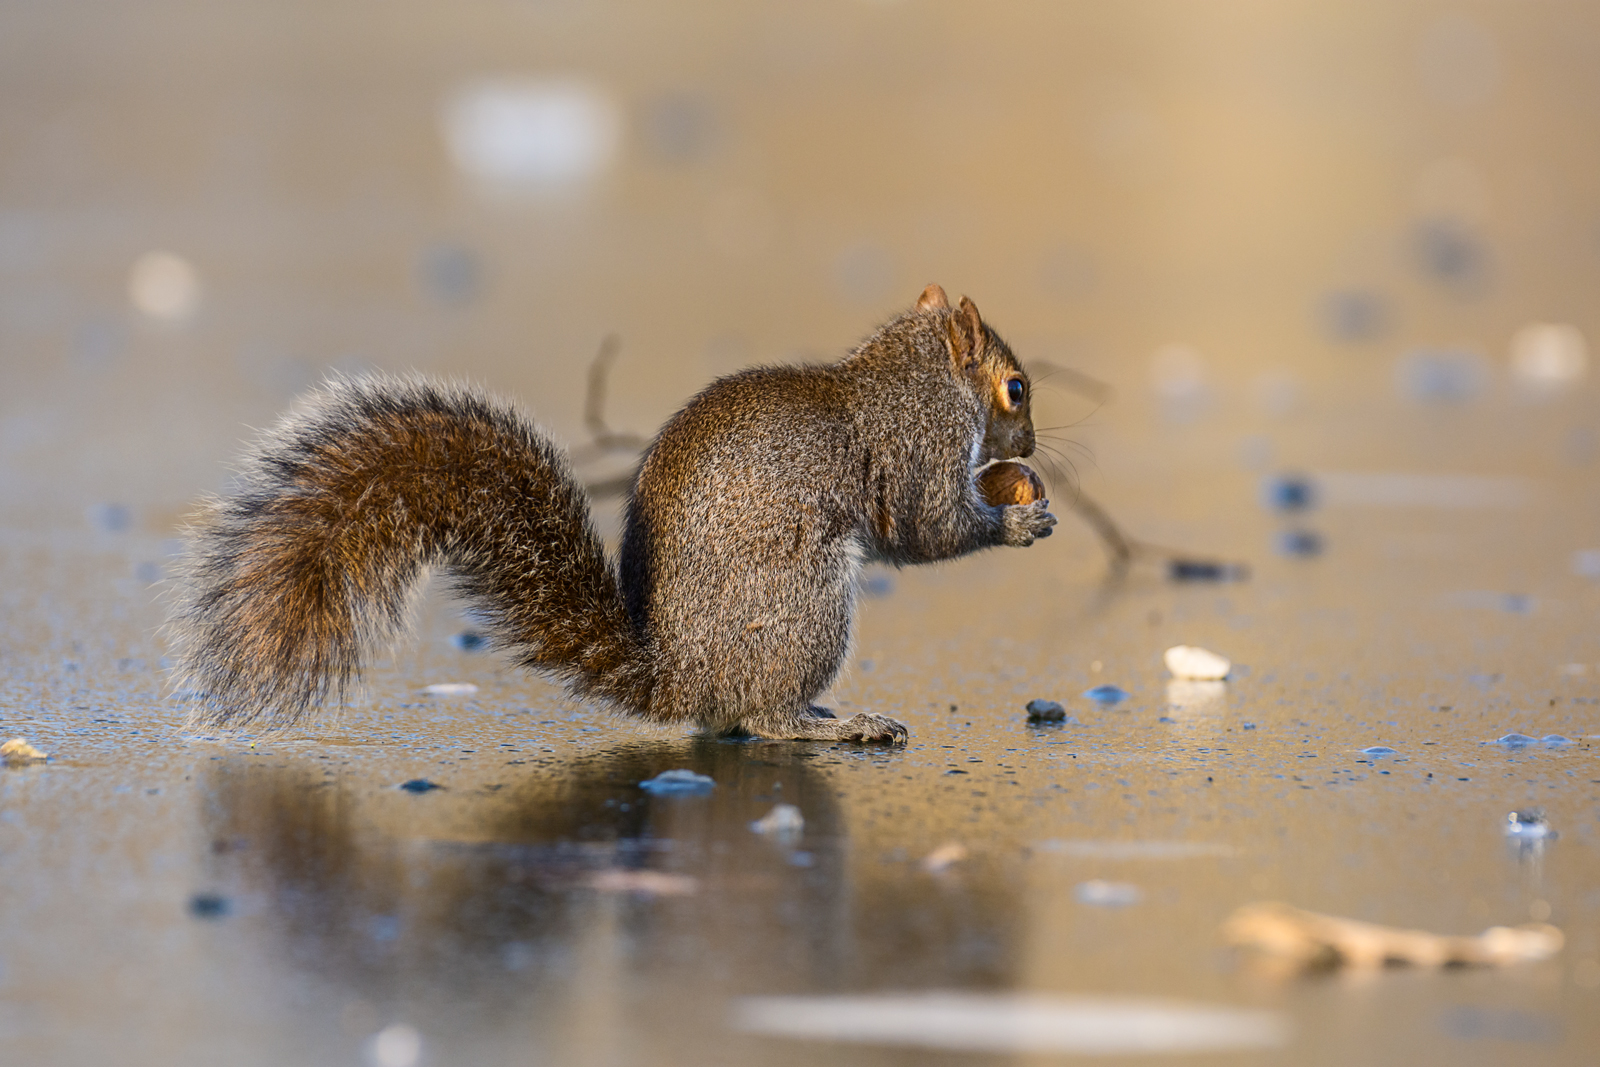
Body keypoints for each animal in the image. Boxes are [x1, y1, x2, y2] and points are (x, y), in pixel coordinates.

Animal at [167, 284, 1056, 744]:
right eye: (1016, 387)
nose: (1032, 443)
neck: (912, 378)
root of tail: (676, 677)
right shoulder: (917, 452)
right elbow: (929, 528)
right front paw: (1019, 520)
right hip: (804, 608)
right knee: (760, 718)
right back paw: (834, 723)